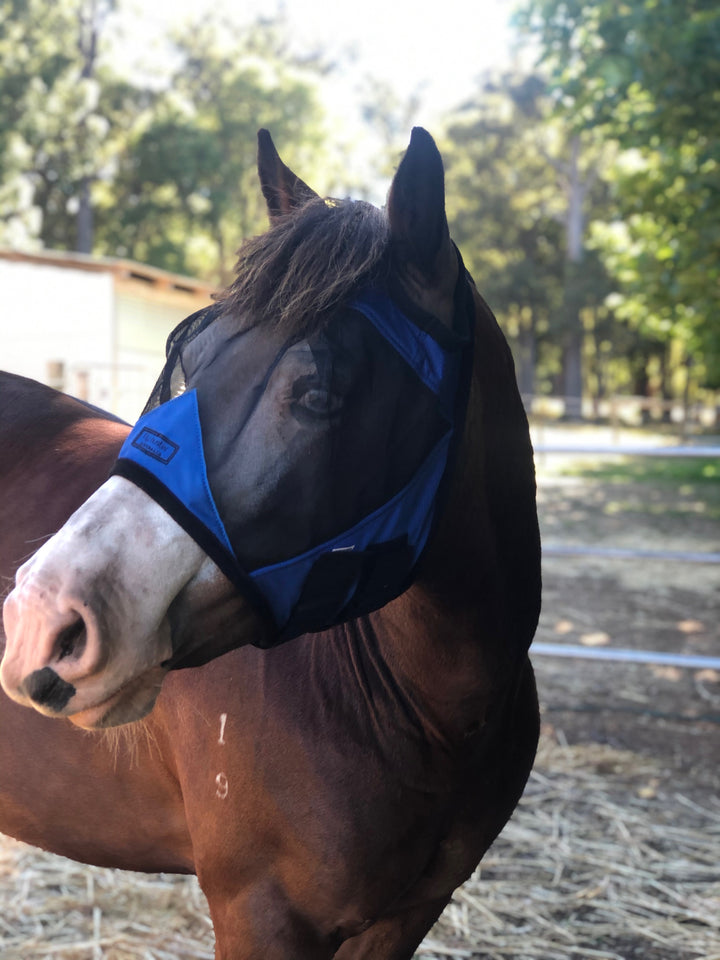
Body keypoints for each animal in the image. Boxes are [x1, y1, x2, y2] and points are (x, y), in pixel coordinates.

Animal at [0, 129, 540, 960]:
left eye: (320, 393)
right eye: (186, 355)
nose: (40, 621)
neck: (429, 714)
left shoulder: (410, 914)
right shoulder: (262, 915)